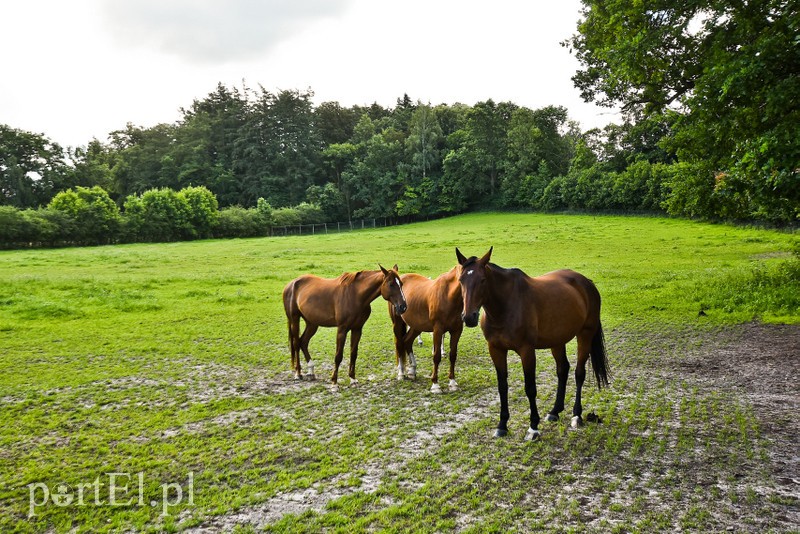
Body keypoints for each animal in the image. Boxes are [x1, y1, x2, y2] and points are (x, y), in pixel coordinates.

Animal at [454, 249, 608, 442]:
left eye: (482, 280)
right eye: (461, 280)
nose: (469, 317)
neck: (505, 306)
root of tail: (586, 282)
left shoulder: (527, 351)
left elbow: (530, 388)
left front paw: (533, 427)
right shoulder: (496, 350)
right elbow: (502, 387)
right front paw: (502, 426)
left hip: (585, 335)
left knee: (579, 373)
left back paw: (576, 415)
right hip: (557, 341)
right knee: (562, 370)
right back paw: (554, 411)